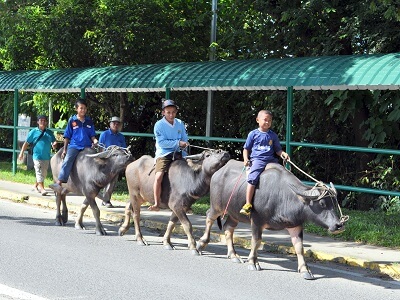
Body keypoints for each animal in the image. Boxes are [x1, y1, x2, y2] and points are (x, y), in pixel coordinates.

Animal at [197, 159, 346, 278]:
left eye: (334, 203)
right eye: (322, 204)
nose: (339, 225)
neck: (283, 196)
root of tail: (218, 172)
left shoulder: (295, 225)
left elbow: (299, 247)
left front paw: (305, 270)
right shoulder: (256, 221)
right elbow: (256, 241)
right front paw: (253, 262)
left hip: (234, 213)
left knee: (228, 228)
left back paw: (233, 255)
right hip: (217, 206)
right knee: (209, 217)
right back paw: (200, 245)